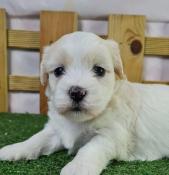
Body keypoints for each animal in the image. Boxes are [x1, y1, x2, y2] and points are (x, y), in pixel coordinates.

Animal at [0, 31, 169, 175]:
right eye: (58, 70)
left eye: (99, 70)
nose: (76, 92)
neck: (79, 120)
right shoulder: (57, 128)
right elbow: (38, 138)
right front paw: (14, 149)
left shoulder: (112, 135)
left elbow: (90, 149)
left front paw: (77, 168)